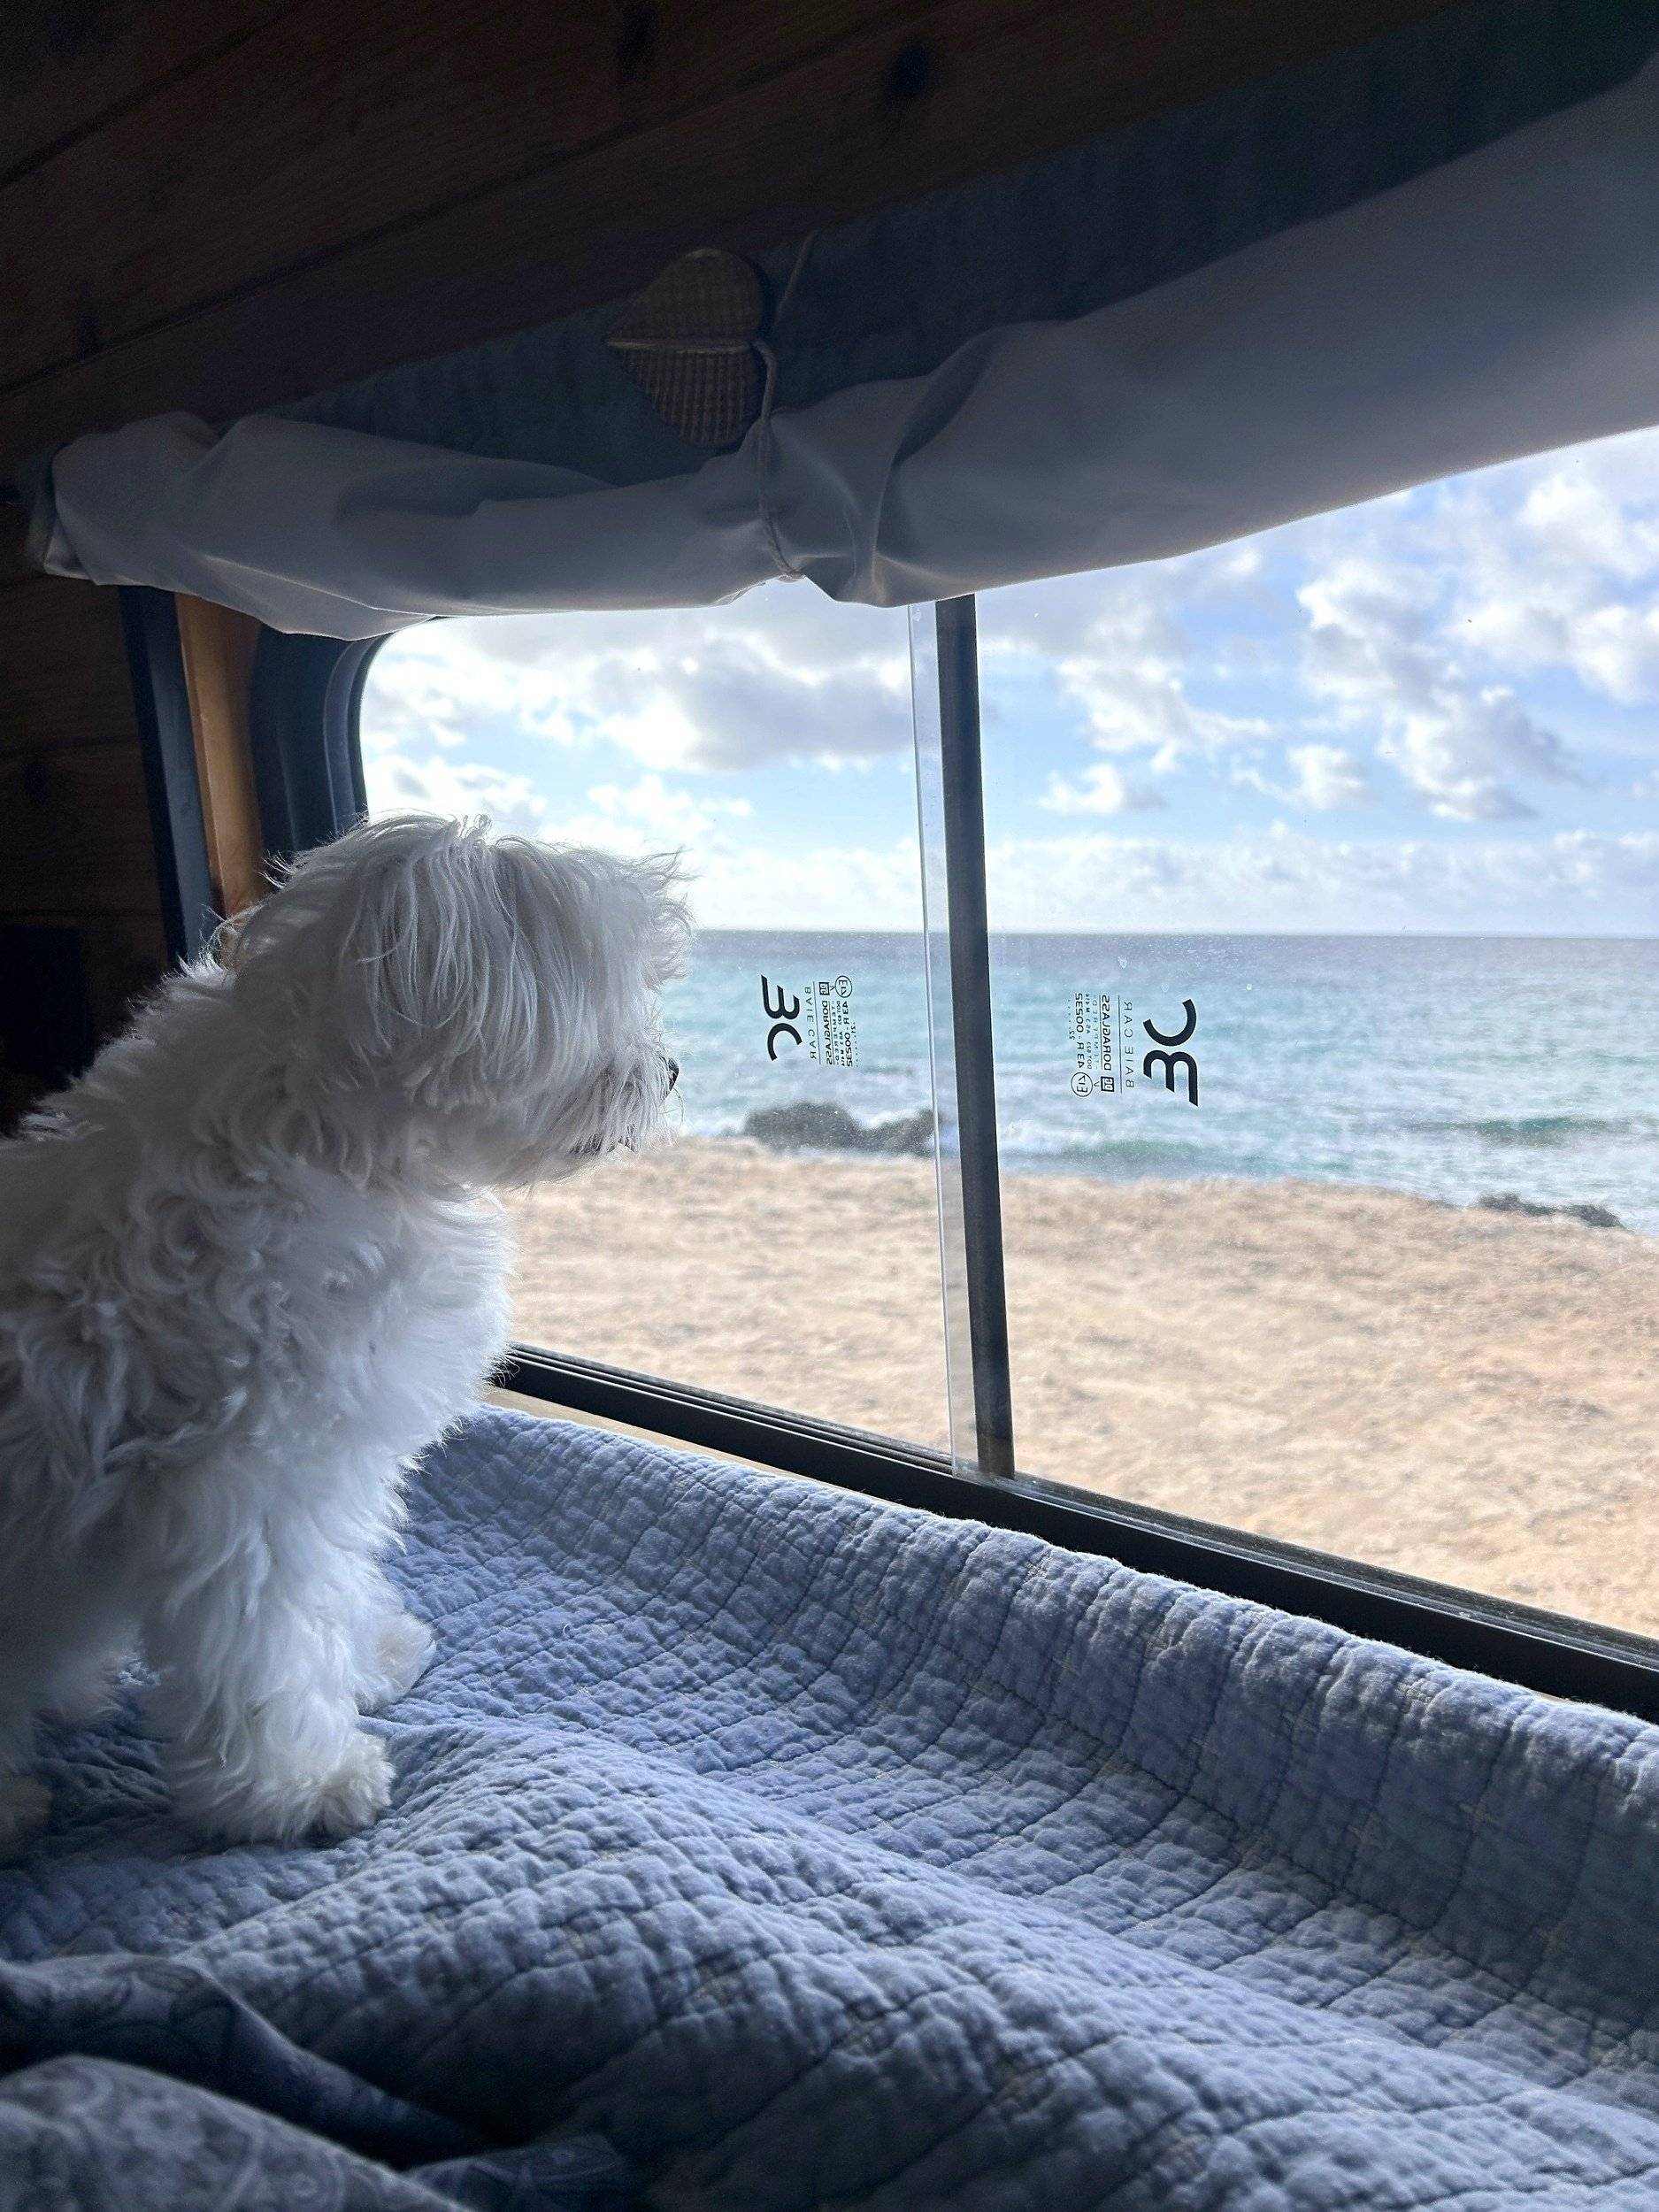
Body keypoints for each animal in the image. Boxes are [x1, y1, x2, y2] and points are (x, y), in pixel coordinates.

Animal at [0, 814, 687, 1850]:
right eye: (609, 995)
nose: (668, 1071)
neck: (320, 1123)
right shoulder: (245, 1484)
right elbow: (262, 1644)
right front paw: (296, 1785)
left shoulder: (340, 1453)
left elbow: (330, 1590)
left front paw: (368, 1655)